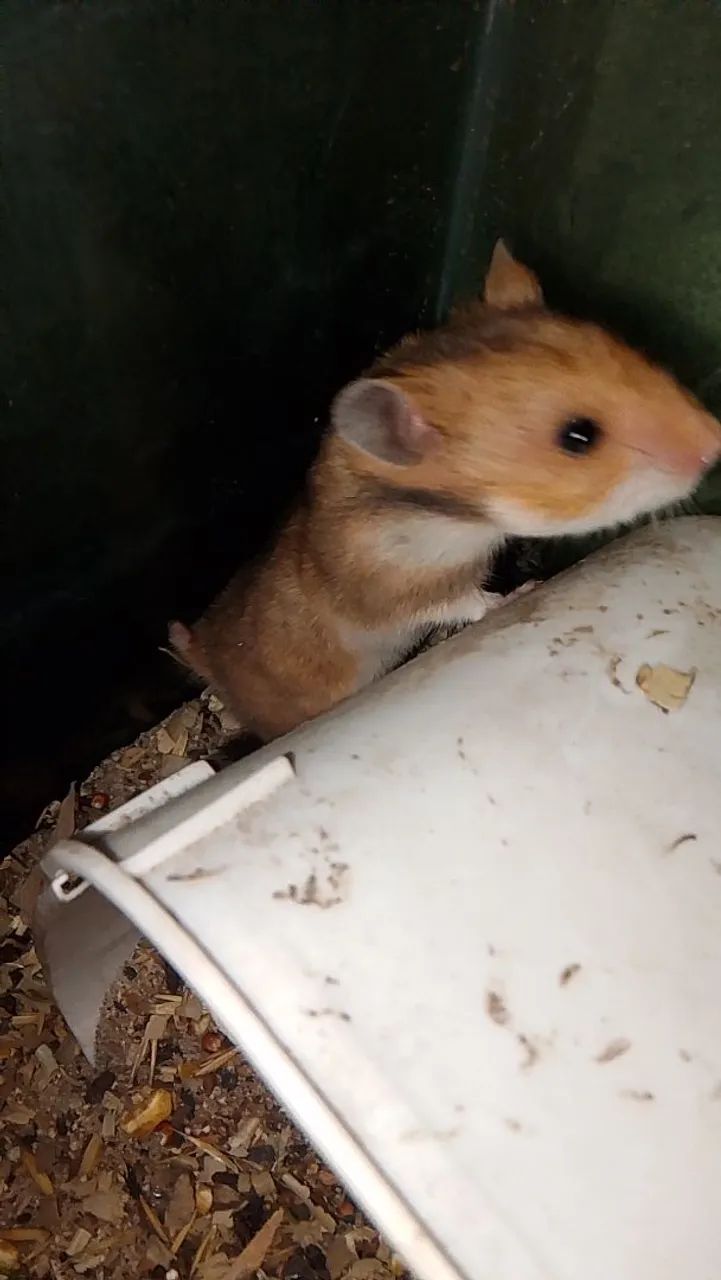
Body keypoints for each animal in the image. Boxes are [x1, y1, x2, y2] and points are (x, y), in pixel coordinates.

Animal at [170, 241, 721, 741]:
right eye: (578, 436)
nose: (716, 442)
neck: (446, 516)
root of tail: (203, 656)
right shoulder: (398, 590)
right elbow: (467, 602)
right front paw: (523, 591)